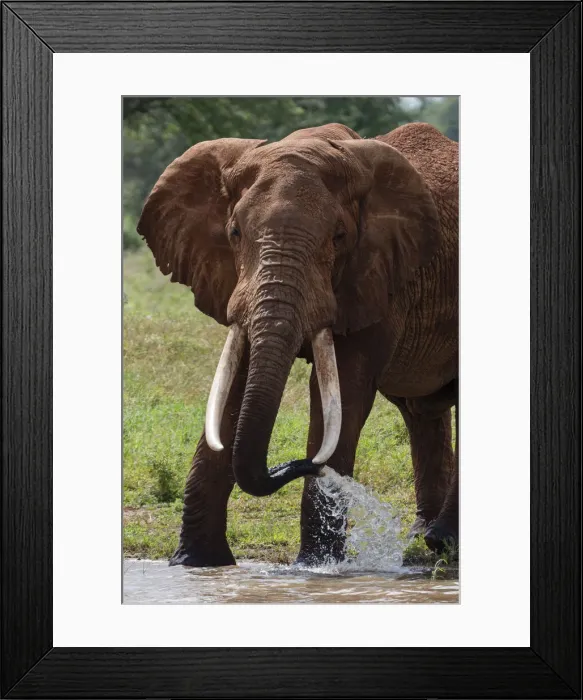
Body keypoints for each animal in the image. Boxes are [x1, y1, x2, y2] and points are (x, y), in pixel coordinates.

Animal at [137, 121, 458, 567]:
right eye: (234, 232)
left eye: (339, 237)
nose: (303, 465)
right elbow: (236, 386)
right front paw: (195, 563)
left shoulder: (378, 278)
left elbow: (343, 393)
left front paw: (316, 568)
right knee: (420, 413)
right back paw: (422, 540)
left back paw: (442, 542)